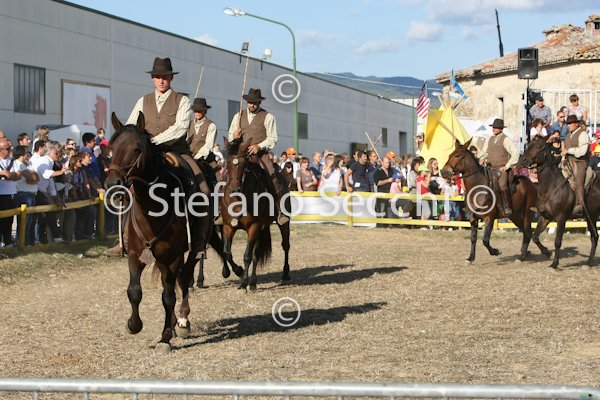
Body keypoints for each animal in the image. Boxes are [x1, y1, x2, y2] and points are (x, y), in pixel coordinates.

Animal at [105, 112, 226, 353]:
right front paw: (133, 325)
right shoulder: (136, 255)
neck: (153, 207)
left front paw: (165, 337)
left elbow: (169, 295)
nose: (113, 184)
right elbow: (134, 291)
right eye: (112, 147)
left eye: (136, 149)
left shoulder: (173, 256)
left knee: (184, 277)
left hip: (192, 250)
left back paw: (182, 321)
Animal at [220, 137, 291, 291]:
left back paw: (285, 274)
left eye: (244, 163)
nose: (234, 189)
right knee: (256, 254)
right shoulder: (228, 227)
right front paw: (240, 272)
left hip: (282, 224)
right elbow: (227, 253)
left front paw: (244, 282)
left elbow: (247, 256)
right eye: (227, 162)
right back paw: (253, 282)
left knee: (285, 245)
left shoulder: (253, 227)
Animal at [519, 135, 599, 268]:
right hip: (590, 217)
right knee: (595, 236)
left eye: (538, 146)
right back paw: (588, 261)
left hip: (592, 217)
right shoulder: (545, 217)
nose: (523, 160)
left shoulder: (561, 218)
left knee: (595, 236)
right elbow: (535, 236)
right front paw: (547, 252)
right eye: (529, 144)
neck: (551, 186)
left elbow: (557, 242)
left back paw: (589, 262)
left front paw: (554, 263)